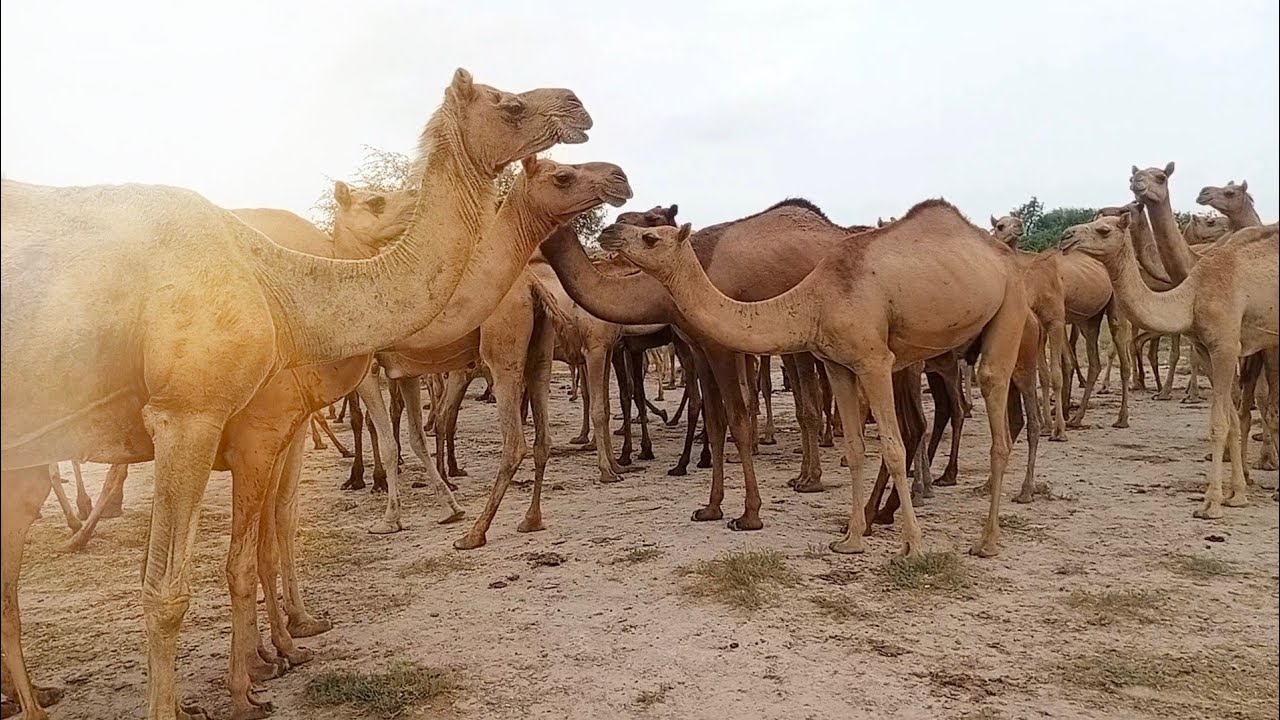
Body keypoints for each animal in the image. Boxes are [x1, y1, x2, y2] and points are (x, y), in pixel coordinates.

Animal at [1, 69, 591, 720]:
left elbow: (263, 539)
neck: (280, 288)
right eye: (508, 105)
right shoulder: (194, 415)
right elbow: (172, 588)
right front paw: (251, 675)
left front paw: (276, 655)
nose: (577, 105)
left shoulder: (269, 428)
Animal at [598, 200, 1034, 558]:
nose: (608, 231)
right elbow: (856, 448)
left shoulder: (874, 360)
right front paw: (851, 540)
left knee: (993, 408)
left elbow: (891, 448)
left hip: (1009, 305)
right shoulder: (838, 363)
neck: (815, 299)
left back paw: (987, 541)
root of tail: (1004, 255)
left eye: (651, 234)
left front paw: (913, 547)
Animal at [1061, 214, 1279, 518]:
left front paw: (1211, 504)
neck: (1191, 297)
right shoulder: (1204, 348)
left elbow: (1219, 422)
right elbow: (1233, 420)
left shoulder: (1226, 346)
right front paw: (1237, 496)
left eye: (1103, 230)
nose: (1066, 237)